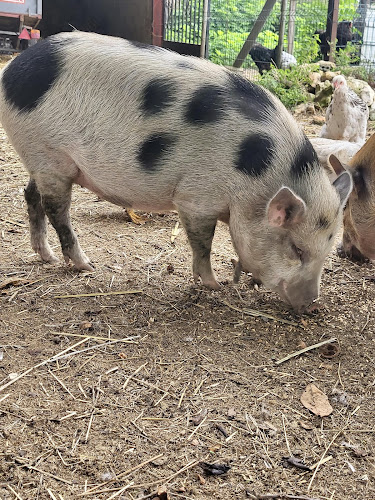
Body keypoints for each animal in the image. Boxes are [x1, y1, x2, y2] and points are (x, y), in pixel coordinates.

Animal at [0, 31, 354, 310]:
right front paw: (214, 284)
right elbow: (202, 241)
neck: (259, 177)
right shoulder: (197, 196)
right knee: (55, 209)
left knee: (30, 195)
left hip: (41, 159)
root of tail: (12, 70)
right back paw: (85, 265)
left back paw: (46, 256)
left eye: (328, 249)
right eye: (297, 249)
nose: (311, 305)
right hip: (49, 152)